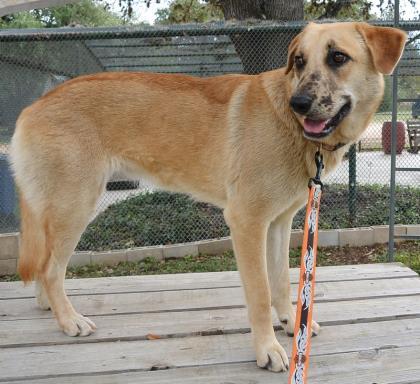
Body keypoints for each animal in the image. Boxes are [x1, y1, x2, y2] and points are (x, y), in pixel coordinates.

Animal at [10, 21, 406, 372]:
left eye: (338, 57)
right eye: (299, 61)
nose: (299, 103)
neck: (289, 126)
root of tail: (32, 107)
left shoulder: (280, 223)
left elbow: (280, 280)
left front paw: (293, 325)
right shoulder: (246, 223)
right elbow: (260, 293)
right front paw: (267, 350)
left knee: (44, 266)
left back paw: (50, 308)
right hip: (75, 207)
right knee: (51, 269)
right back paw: (69, 320)